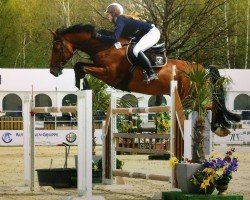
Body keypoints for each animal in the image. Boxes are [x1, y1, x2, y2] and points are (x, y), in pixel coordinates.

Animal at [48, 23, 240, 136]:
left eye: (57, 48)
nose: (53, 71)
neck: (106, 47)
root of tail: (202, 68)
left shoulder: (110, 75)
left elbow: (81, 67)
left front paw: (82, 83)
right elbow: (79, 65)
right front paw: (80, 83)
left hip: (189, 98)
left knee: (212, 105)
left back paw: (220, 127)